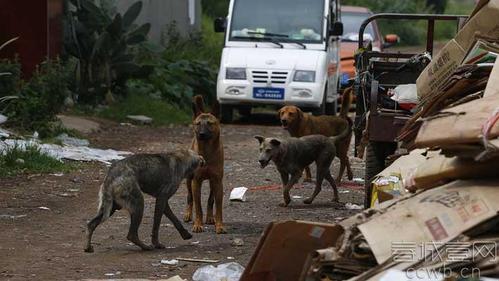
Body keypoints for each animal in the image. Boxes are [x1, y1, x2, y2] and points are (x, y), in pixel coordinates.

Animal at [184, 95, 227, 233]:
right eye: (198, 124)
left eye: (210, 123)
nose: (201, 134)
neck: (207, 152)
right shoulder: (196, 182)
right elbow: (198, 207)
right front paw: (198, 224)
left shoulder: (218, 182)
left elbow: (217, 207)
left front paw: (219, 225)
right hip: (188, 180)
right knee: (190, 198)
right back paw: (188, 214)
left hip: (213, 183)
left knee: (210, 200)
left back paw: (209, 217)